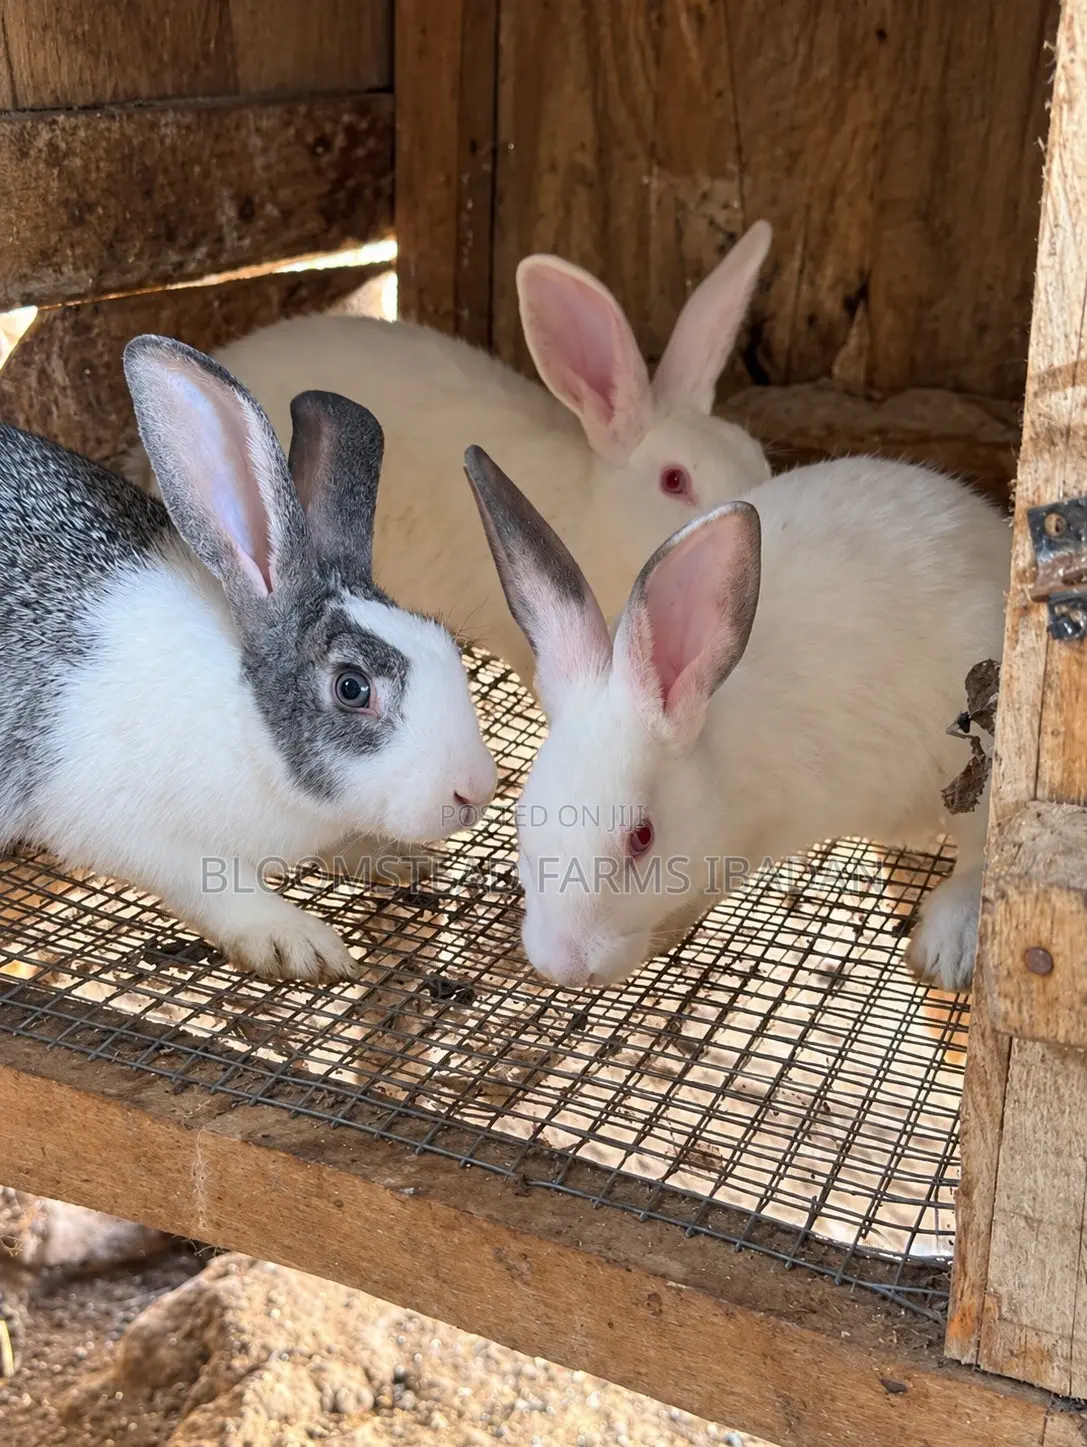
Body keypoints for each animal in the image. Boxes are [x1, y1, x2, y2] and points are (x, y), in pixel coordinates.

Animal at [0, 337, 496, 983]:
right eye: (353, 687)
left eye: (445, 643)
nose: (475, 791)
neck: (244, 718)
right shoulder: (117, 821)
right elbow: (211, 883)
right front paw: (296, 941)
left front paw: (395, 857)